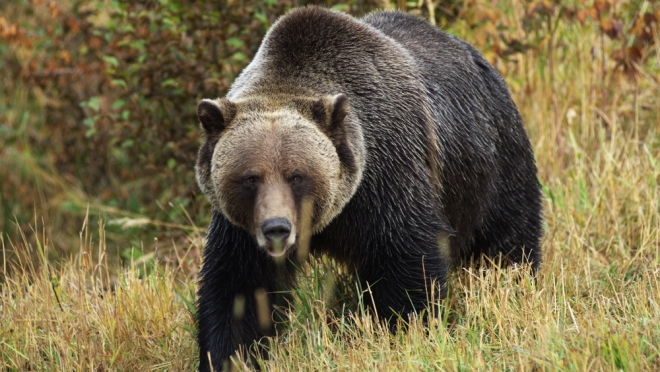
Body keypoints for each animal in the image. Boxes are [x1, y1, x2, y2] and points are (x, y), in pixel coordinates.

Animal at [195, 6, 540, 372]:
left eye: (296, 175)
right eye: (250, 178)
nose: (277, 228)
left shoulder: (387, 179)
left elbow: (407, 265)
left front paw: (405, 332)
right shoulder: (241, 230)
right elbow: (238, 289)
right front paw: (231, 355)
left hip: (491, 163)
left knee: (508, 241)